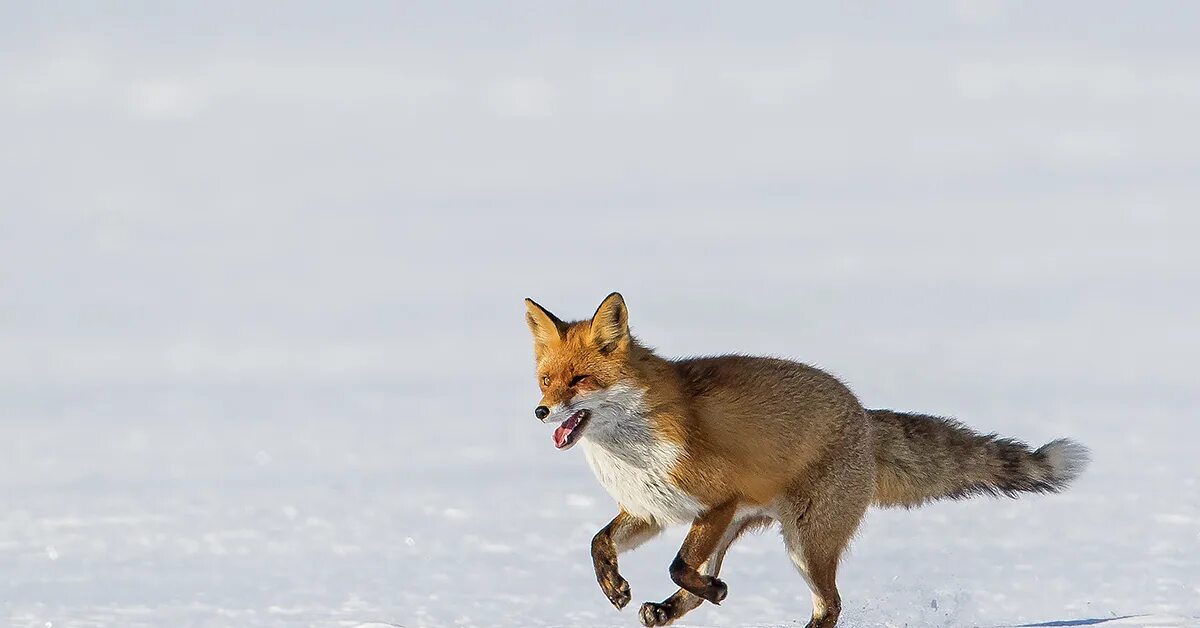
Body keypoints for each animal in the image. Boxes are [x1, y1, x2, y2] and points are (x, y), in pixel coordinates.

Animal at [520, 294, 1094, 628]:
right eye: (547, 380)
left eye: (580, 380)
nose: (541, 411)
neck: (631, 448)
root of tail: (863, 414)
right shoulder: (654, 510)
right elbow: (599, 543)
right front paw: (614, 586)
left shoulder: (716, 501)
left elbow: (678, 565)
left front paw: (698, 589)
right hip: (744, 531)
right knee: (699, 597)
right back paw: (662, 610)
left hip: (804, 542)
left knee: (830, 604)